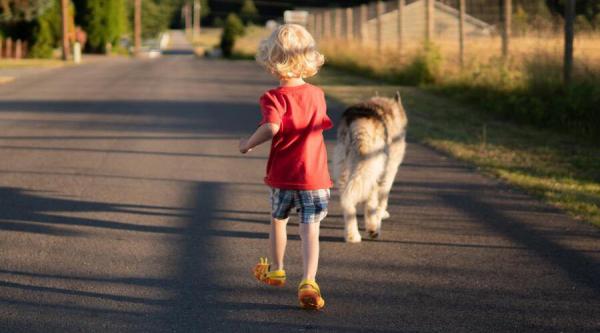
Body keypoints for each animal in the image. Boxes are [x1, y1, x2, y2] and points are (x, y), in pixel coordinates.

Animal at [332, 92, 408, 243]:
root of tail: (358, 123)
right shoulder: (389, 171)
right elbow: (383, 198)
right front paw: (381, 214)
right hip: (373, 167)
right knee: (370, 200)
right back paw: (373, 228)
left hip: (344, 168)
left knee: (347, 200)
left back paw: (352, 235)